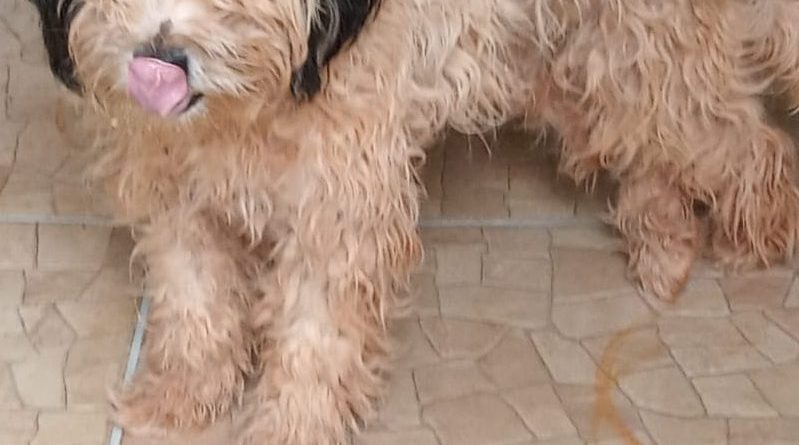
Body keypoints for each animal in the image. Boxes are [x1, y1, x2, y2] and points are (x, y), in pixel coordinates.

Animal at [30, 0, 799, 443]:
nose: (159, 60)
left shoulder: (338, 207)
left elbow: (313, 338)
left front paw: (291, 426)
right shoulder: (174, 194)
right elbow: (196, 305)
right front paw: (181, 398)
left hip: (647, 61)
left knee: (749, 143)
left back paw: (759, 235)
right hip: (571, 65)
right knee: (643, 152)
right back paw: (665, 245)